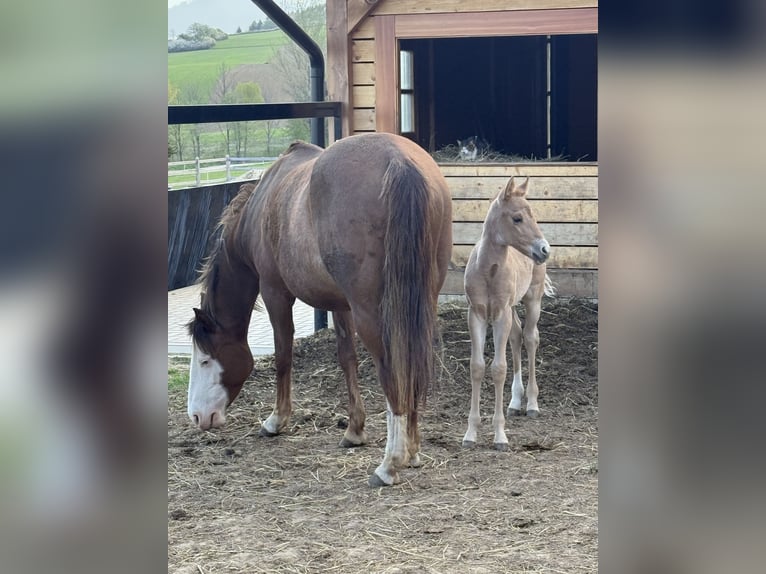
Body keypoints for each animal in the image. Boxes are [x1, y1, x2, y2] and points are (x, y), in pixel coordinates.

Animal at [186, 133, 453, 487]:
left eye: (205, 360)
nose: (197, 416)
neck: (261, 207)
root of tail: (401, 161)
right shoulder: (340, 304)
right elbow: (347, 358)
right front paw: (355, 430)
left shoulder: (274, 292)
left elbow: (283, 356)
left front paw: (276, 420)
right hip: (420, 302)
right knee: (412, 362)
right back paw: (413, 450)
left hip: (373, 312)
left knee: (392, 368)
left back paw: (390, 462)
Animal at [461, 176, 554, 451]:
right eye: (517, 218)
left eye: (533, 215)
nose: (544, 250)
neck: (488, 271)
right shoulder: (477, 315)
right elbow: (477, 367)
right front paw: (470, 433)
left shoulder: (500, 315)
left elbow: (498, 368)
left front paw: (500, 436)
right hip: (511, 308)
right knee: (516, 336)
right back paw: (514, 403)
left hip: (532, 299)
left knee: (531, 338)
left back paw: (531, 404)